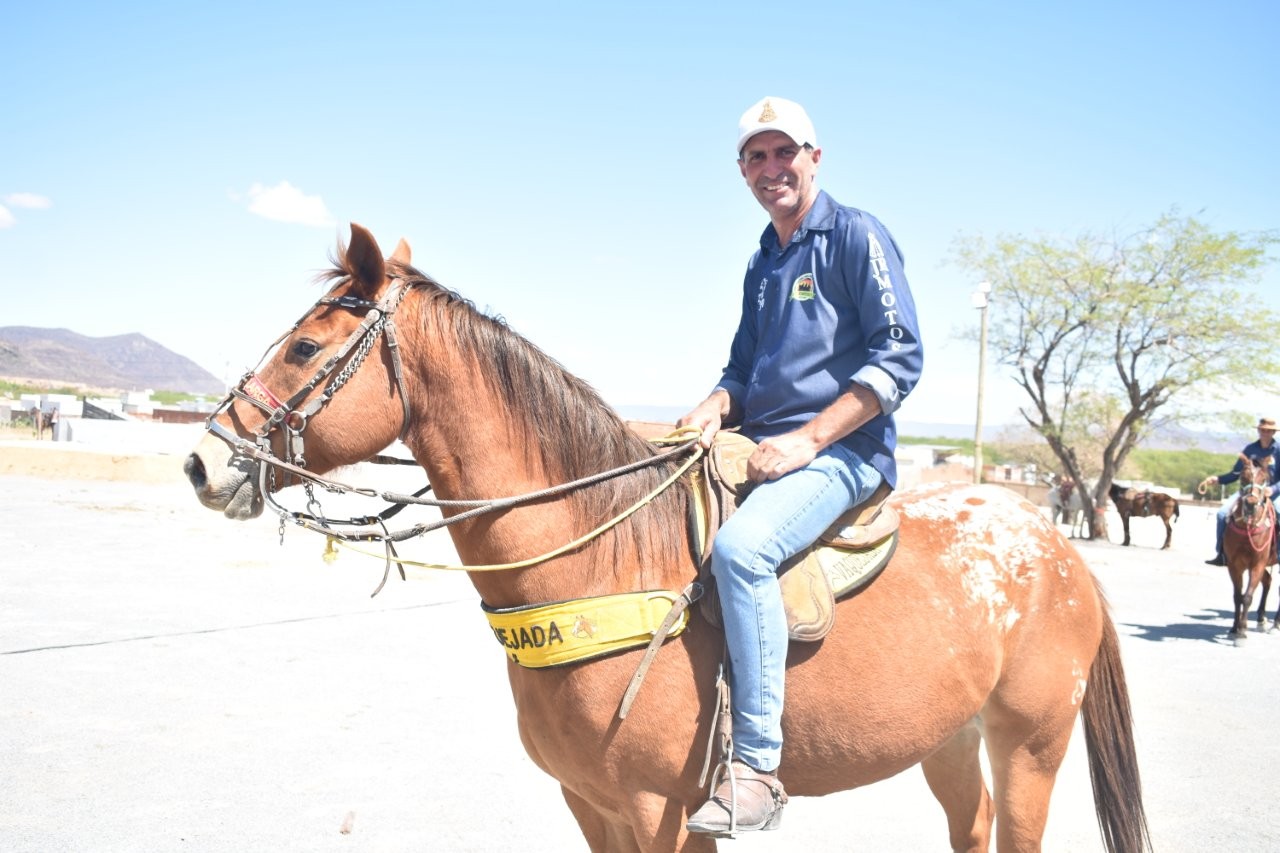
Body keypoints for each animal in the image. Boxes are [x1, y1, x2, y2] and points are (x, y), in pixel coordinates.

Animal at [184, 224, 1151, 853]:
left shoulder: (660, 811)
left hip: (1031, 744)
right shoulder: (592, 805)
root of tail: (1061, 550)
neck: (592, 564)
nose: (202, 459)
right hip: (949, 739)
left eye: (305, 347)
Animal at [1223, 454, 1279, 644]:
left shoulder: (1257, 565)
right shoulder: (1234, 566)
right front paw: (1234, 628)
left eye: (1264, 479)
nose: (1251, 504)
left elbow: (1247, 597)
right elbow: (1237, 596)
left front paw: (1242, 632)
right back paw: (1261, 620)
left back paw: (1275, 624)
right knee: (1268, 582)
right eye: (1243, 477)